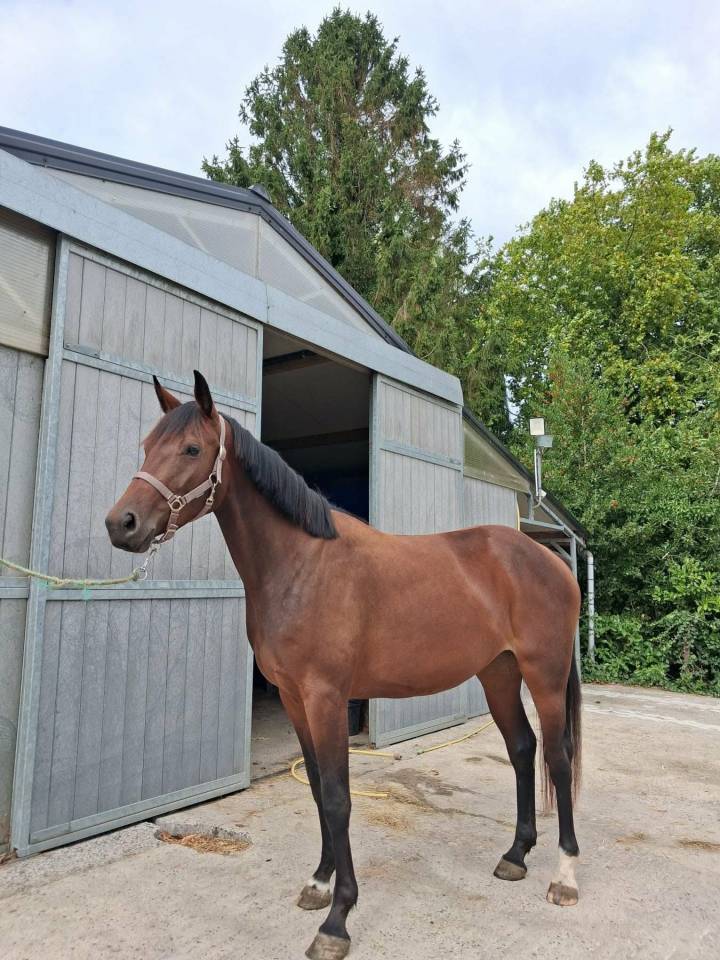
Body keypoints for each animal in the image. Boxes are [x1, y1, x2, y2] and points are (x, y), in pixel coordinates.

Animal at [105, 371, 582, 960]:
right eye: (148, 445)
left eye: (192, 448)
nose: (120, 523)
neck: (301, 564)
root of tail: (551, 559)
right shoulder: (294, 699)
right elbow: (314, 787)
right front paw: (318, 883)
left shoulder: (326, 698)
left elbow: (337, 799)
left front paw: (338, 919)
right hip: (498, 673)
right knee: (522, 749)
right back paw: (515, 855)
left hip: (545, 675)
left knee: (558, 759)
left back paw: (564, 875)